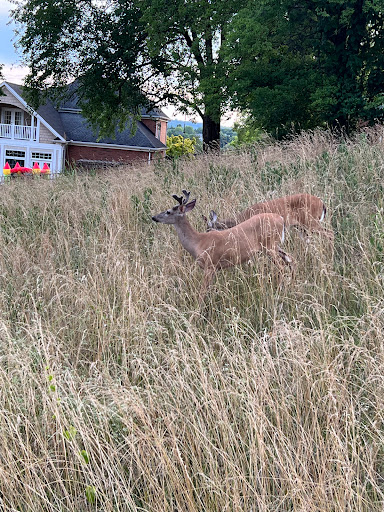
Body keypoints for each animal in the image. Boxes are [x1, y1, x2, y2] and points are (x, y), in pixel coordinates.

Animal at [151, 189, 294, 302]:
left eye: (168, 211)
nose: (154, 217)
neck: (198, 242)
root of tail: (281, 219)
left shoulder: (210, 265)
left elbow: (202, 292)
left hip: (269, 245)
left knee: (282, 266)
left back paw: (279, 291)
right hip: (274, 246)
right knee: (290, 259)